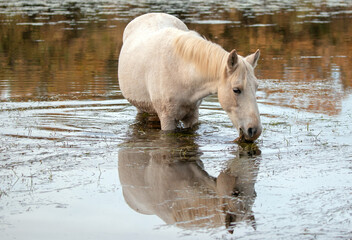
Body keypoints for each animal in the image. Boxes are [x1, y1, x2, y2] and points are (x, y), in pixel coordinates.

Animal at [118, 12, 262, 141]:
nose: (254, 131)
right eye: (236, 90)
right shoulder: (167, 120)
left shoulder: (192, 116)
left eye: (256, 87)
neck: (181, 73)